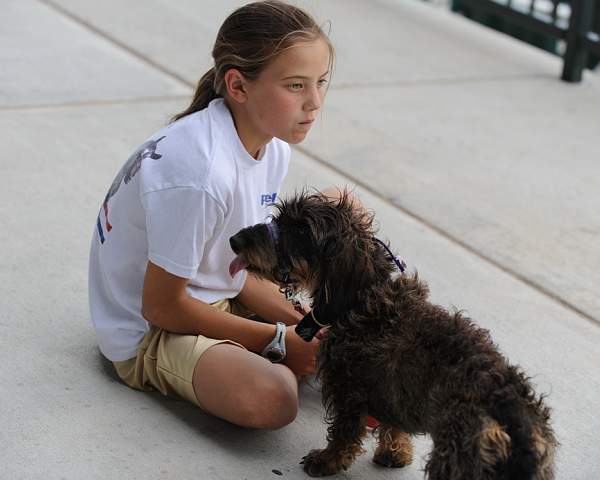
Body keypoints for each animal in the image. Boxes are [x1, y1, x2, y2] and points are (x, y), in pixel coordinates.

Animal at [227, 192, 556, 480]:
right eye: (281, 218)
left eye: (300, 229)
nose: (235, 240)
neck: (363, 300)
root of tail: (513, 410)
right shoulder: (390, 392)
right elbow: (392, 424)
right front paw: (395, 452)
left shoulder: (350, 389)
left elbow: (345, 433)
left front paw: (328, 461)